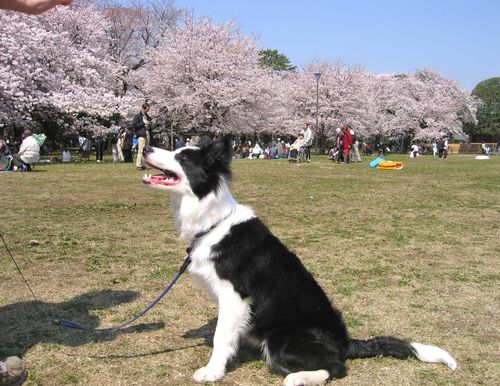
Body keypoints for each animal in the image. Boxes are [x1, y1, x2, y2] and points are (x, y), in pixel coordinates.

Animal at [142, 136, 458, 386]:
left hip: (284, 339)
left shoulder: (235, 296)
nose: (146, 147)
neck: (213, 223)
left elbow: (221, 336)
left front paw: (212, 371)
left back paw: (299, 378)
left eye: (182, 157)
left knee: (337, 367)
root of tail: (345, 343)